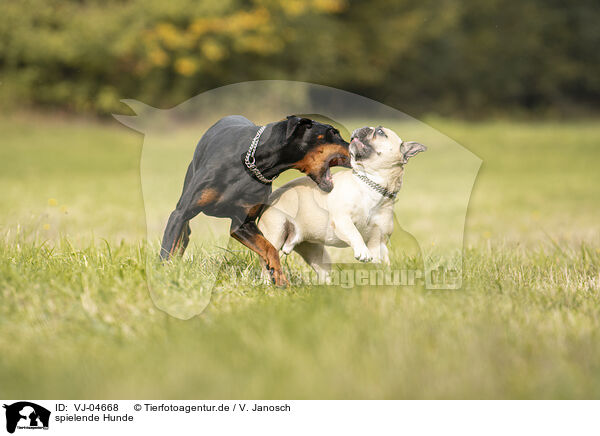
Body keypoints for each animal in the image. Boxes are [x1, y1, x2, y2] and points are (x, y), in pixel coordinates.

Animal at [159, 115, 350, 286]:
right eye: (333, 132)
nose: (355, 146)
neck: (252, 164)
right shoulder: (180, 213)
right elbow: (166, 249)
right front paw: (163, 277)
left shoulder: (243, 224)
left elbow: (269, 247)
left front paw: (279, 279)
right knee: (183, 235)